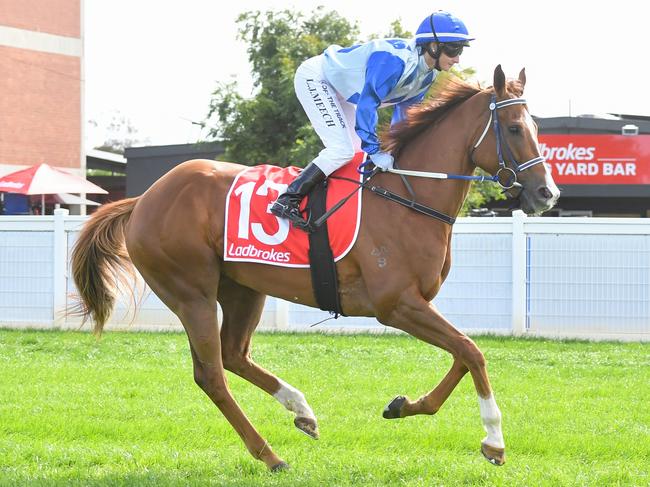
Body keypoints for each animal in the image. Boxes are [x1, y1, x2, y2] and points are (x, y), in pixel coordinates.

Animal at [69, 66, 556, 470]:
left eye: (535, 127)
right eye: (514, 128)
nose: (546, 193)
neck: (407, 195)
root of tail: (143, 199)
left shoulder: (418, 303)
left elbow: (462, 353)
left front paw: (402, 405)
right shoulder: (396, 305)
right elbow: (472, 351)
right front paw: (494, 441)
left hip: (243, 288)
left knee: (233, 355)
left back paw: (301, 411)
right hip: (191, 294)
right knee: (211, 374)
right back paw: (270, 455)